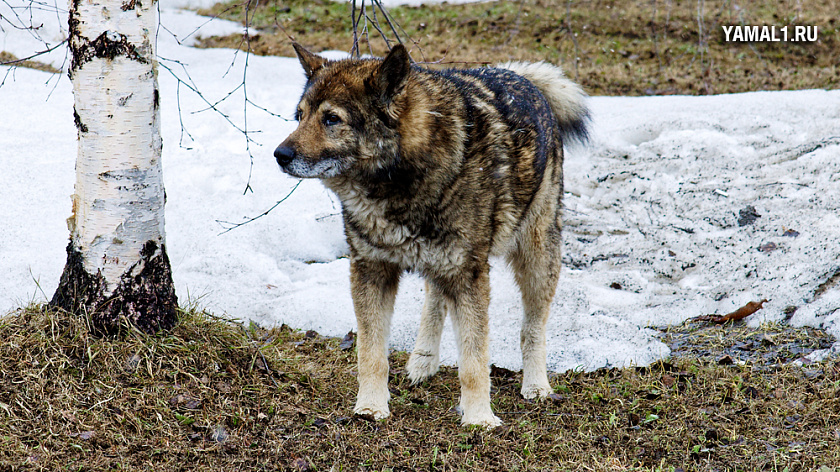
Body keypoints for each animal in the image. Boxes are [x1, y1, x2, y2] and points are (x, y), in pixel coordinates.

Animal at [278, 43, 592, 428]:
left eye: (332, 119)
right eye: (300, 116)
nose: (279, 155)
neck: (400, 182)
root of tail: (521, 76)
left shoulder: (469, 276)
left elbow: (474, 361)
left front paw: (479, 418)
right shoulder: (371, 271)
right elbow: (371, 353)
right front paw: (370, 407)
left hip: (535, 259)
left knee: (532, 328)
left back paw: (536, 386)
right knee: (434, 298)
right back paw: (422, 361)